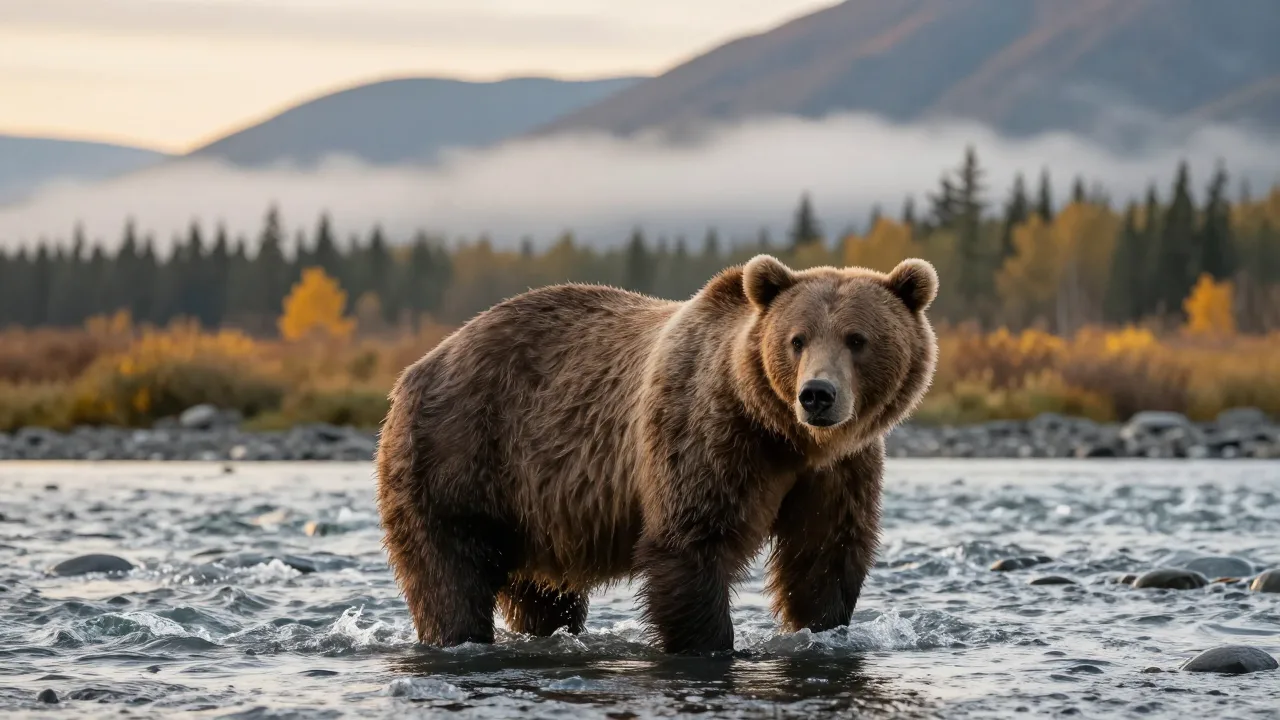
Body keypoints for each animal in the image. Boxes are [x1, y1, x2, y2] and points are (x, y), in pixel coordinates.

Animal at [375, 253, 938, 655]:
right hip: (458, 454)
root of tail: (417, 367)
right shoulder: (706, 434)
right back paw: (457, 635)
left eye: (857, 339)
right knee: (448, 573)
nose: (817, 395)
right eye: (797, 339)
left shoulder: (840, 470)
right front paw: (712, 644)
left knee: (542, 593)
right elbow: (690, 544)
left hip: (533, 508)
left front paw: (822, 628)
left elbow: (824, 552)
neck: (785, 438)